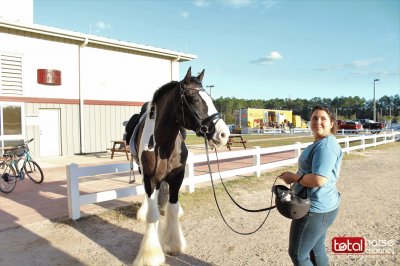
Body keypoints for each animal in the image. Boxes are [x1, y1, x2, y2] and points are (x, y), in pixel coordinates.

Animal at [126, 67, 230, 264]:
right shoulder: (150, 179)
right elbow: (153, 215)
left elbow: (172, 209)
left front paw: (173, 244)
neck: (163, 144)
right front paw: (150, 255)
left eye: (210, 99)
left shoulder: (177, 177)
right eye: (195, 99)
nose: (223, 134)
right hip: (142, 171)